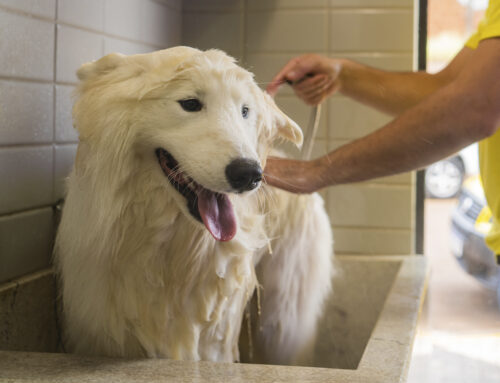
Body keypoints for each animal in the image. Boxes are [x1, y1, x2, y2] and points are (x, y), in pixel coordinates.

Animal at [54, 46, 334, 364]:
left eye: (245, 111)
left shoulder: (214, 337)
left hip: (282, 318)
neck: (169, 254)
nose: (249, 174)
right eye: (190, 103)